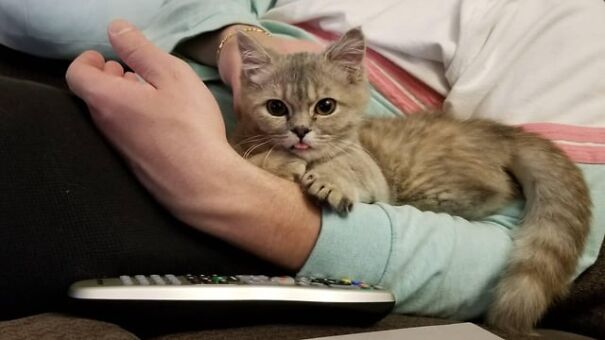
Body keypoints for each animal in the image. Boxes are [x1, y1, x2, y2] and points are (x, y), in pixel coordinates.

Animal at [231, 27, 588, 334]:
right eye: (276, 107)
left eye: (326, 106)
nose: (301, 131)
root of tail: (494, 130)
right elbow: (257, 157)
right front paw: (283, 161)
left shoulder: (370, 170)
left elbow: (345, 165)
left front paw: (328, 180)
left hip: (427, 182)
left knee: (498, 188)